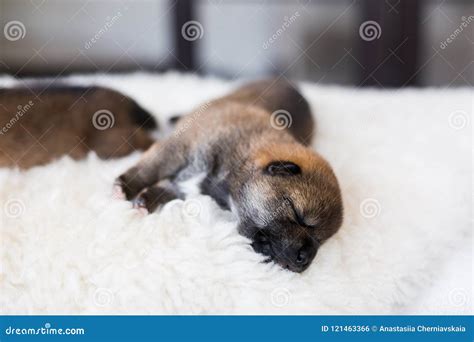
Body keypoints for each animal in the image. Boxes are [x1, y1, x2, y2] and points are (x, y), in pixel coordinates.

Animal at [116, 79, 342, 272]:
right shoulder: (177, 149)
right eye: (297, 215)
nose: (305, 259)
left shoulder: (185, 185)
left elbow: (166, 189)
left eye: (321, 240)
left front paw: (146, 200)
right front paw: (126, 187)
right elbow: (150, 168)